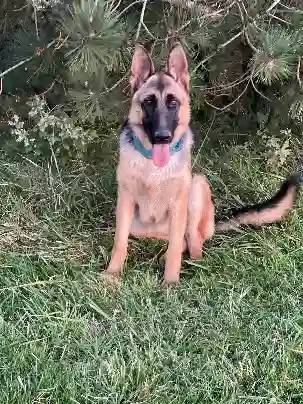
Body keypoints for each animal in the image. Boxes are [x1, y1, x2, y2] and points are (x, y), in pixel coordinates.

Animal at [104, 43, 302, 284]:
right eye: (148, 102)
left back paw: (189, 261)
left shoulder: (179, 203)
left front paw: (170, 282)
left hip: (196, 188)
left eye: (173, 103)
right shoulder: (125, 200)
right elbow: (119, 242)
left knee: (192, 240)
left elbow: (176, 245)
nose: (162, 137)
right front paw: (113, 273)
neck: (153, 165)